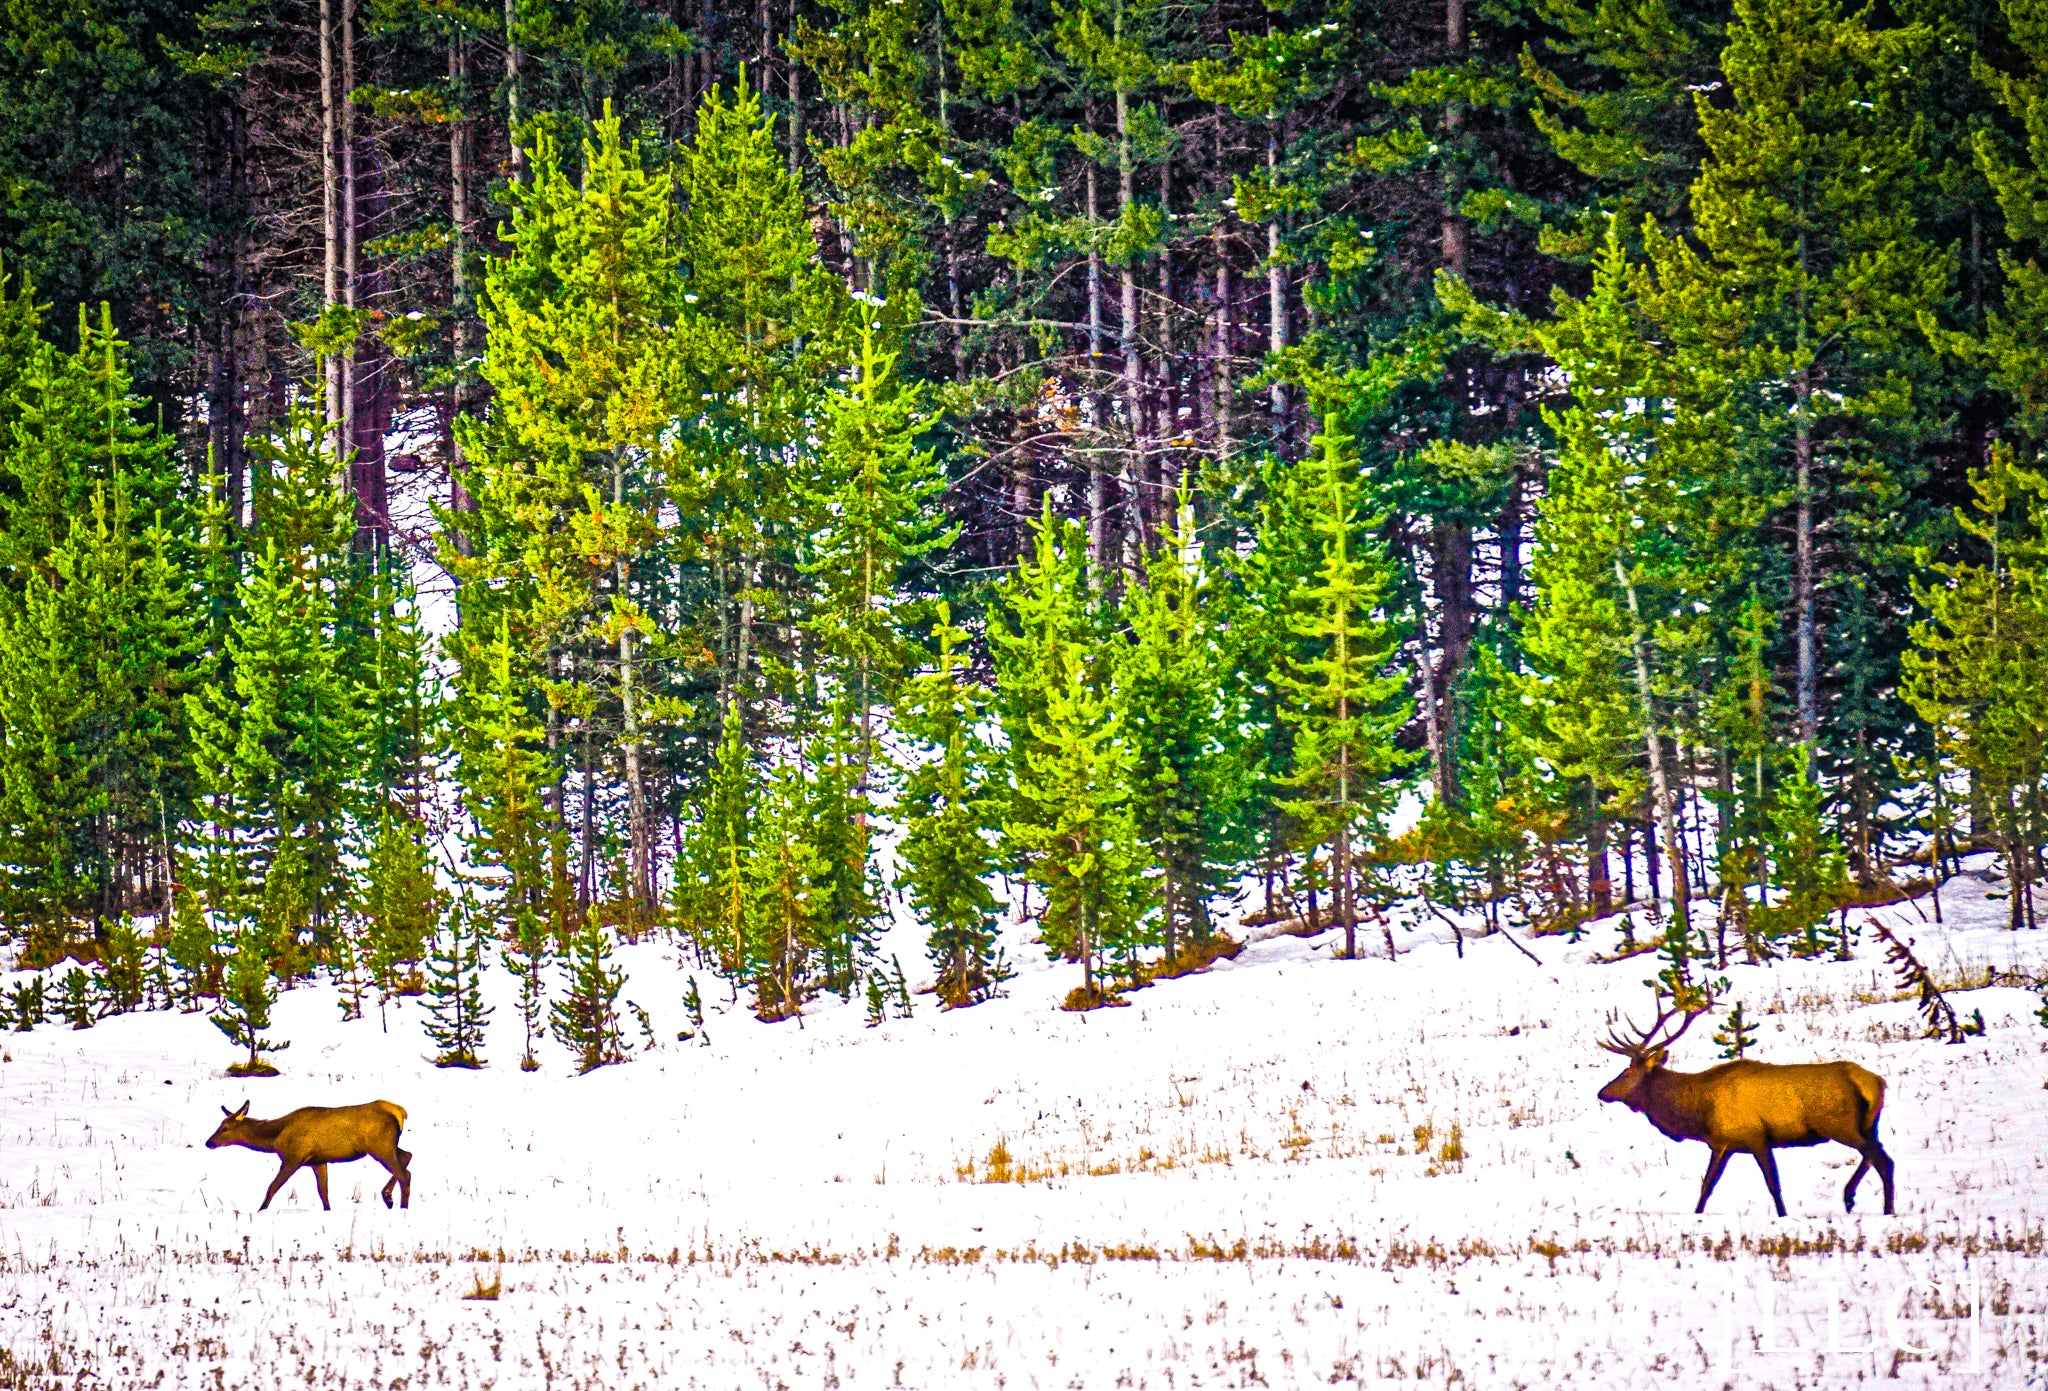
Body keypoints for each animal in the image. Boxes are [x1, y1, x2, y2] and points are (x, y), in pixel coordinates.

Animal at [205, 1100, 413, 1211]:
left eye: (225, 1128)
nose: (209, 1142)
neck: (275, 1139)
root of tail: (399, 1112)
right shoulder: (318, 1160)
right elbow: (323, 1192)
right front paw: (328, 1211)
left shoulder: (293, 1157)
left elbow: (272, 1187)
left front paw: (260, 1210)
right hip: (385, 1146)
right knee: (407, 1157)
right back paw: (388, 1197)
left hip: (380, 1146)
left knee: (404, 1174)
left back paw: (401, 1206)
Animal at [1595, 1005, 1894, 1216]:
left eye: (1627, 1072)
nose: (1602, 1092)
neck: (1699, 1111)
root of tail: (1875, 1082)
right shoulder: (1724, 1143)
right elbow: (1708, 1184)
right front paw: (1697, 1214)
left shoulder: (1756, 1137)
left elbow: (1773, 1183)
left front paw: (1783, 1215)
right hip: (1869, 1124)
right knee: (1873, 1154)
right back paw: (1849, 1197)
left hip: (1839, 1124)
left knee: (1882, 1159)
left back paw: (1886, 1209)